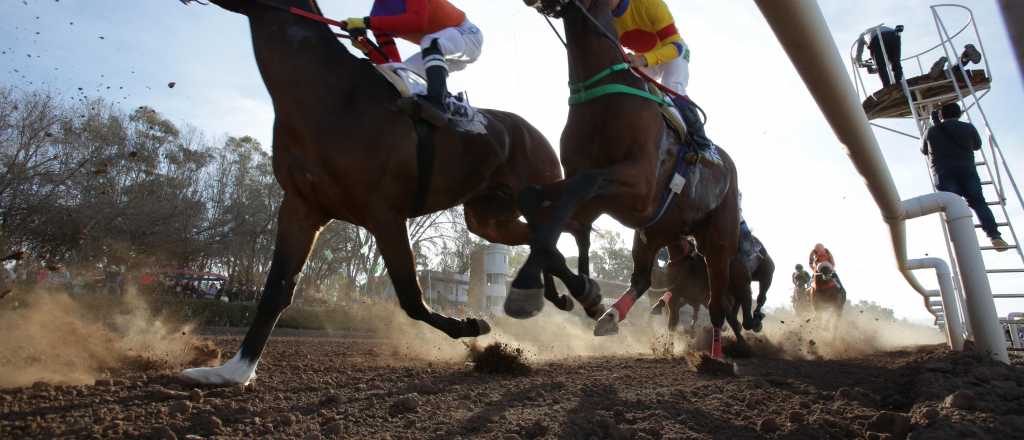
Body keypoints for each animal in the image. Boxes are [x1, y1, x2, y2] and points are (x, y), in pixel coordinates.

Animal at [180, 0, 573, 384]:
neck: (332, 97)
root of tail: (533, 130)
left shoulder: (384, 214)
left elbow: (411, 298)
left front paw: (472, 324)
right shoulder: (301, 207)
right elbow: (276, 289)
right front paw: (233, 371)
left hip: (531, 191)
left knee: (547, 236)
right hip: (488, 218)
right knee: (540, 240)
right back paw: (559, 297)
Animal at [512, 0, 745, 358]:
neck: (601, 96)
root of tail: (728, 166)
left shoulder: (637, 186)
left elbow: (575, 198)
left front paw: (535, 286)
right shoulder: (590, 195)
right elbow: (535, 202)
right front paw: (573, 293)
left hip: (718, 241)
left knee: (718, 303)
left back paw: (717, 355)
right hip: (653, 231)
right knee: (642, 279)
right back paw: (610, 315)